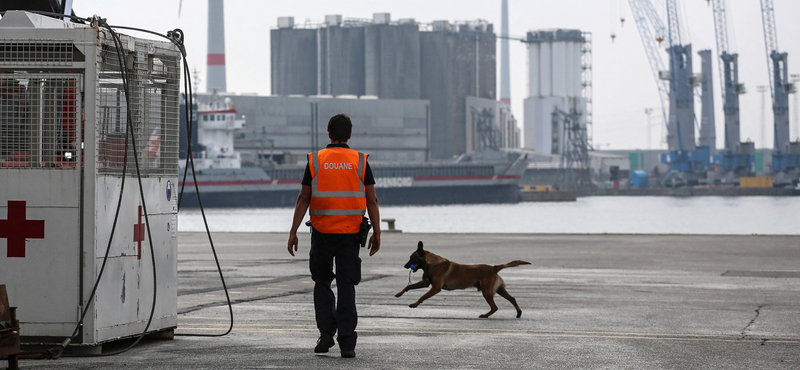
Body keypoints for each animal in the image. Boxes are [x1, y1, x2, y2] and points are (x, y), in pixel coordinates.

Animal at [396, 240, 532, 318]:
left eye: (412, 257)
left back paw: (485, 315)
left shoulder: (435, 288)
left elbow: (422, 296)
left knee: (495, 307)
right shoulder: (425, 283)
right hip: (498, 289)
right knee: (512, 298)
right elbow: (408, 286)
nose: (405, 266)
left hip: (487, 291)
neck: (431, 263)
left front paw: (414, 304)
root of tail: (493, 268)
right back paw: (518, 313)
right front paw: (399, 293)